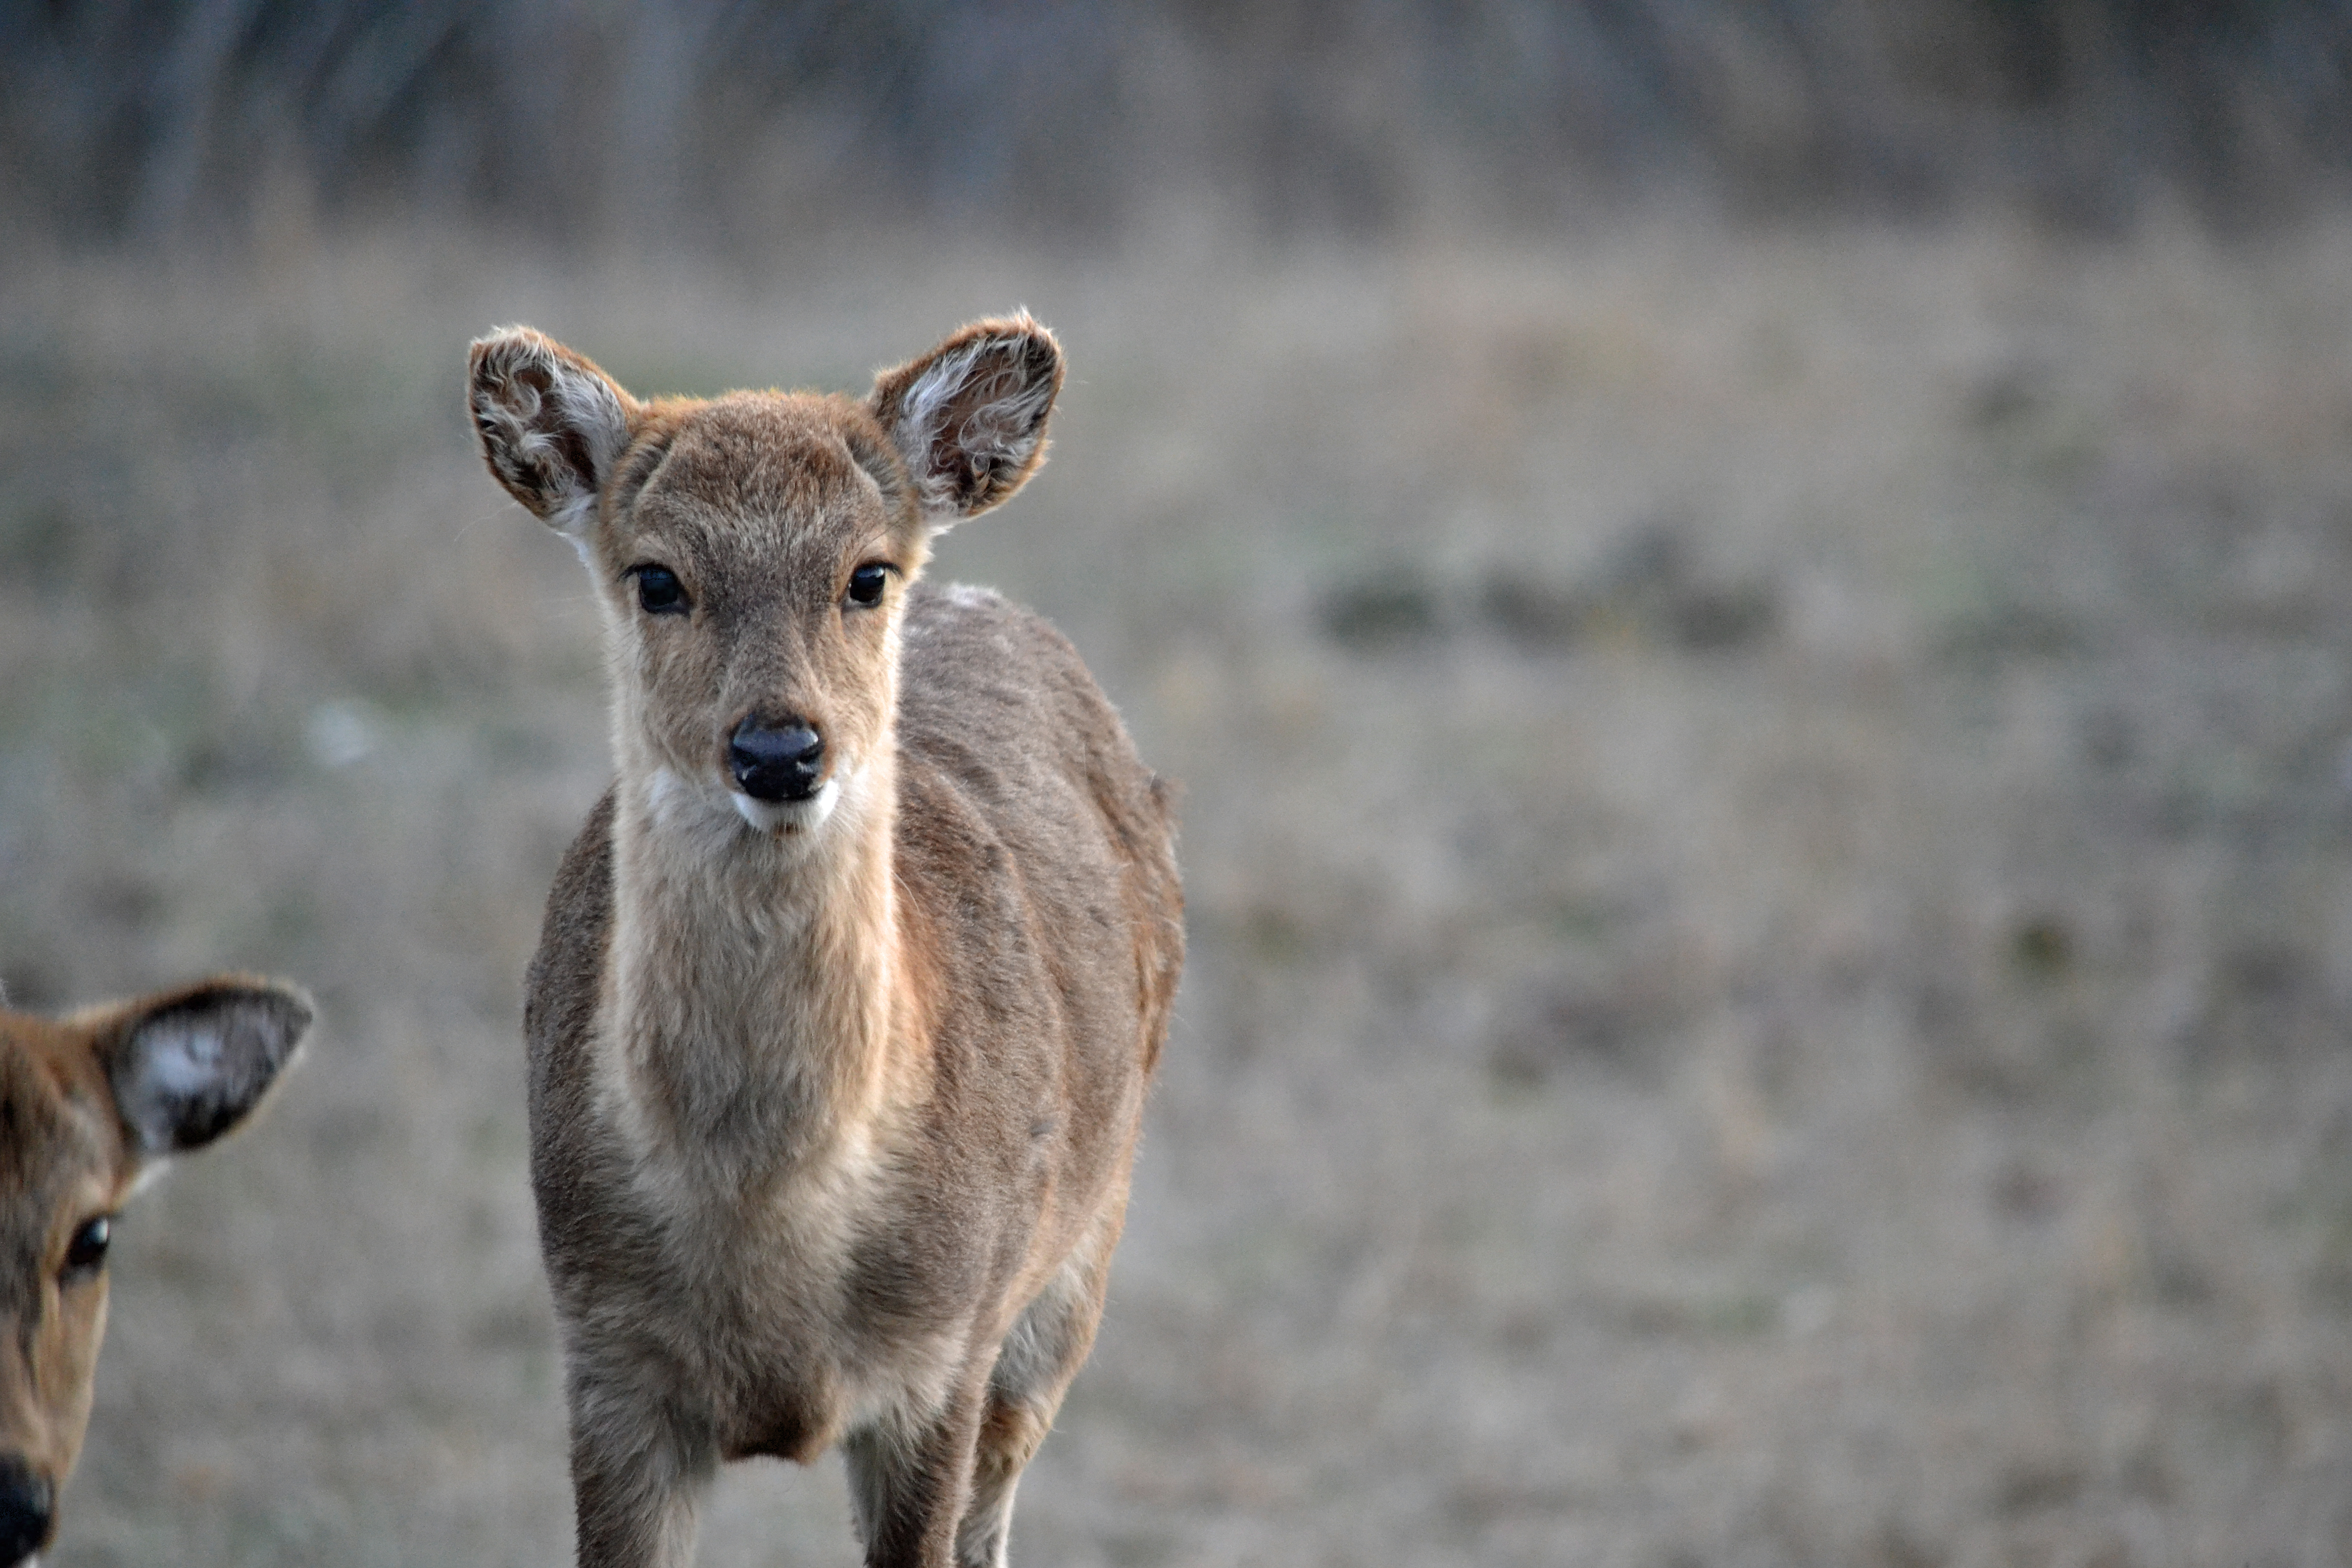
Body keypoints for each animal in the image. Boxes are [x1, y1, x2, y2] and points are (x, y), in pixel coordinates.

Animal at [470, 310, 1185, 1568]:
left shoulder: (942, 1358)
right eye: (657, 577)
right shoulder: (604, 1361)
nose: (779, 751)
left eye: (866, 573)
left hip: (1070, 1277)